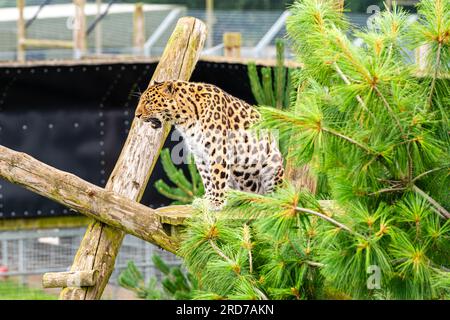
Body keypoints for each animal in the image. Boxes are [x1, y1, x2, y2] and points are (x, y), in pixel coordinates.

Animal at [134, 80, 284, 210]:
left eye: (148, 102)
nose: (137, 115)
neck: (185, 119)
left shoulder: (217, 149)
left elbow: (217, 176)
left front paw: (216, 202)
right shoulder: (199, 153)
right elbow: (207, 177)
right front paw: (207, 199)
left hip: (273, 162)